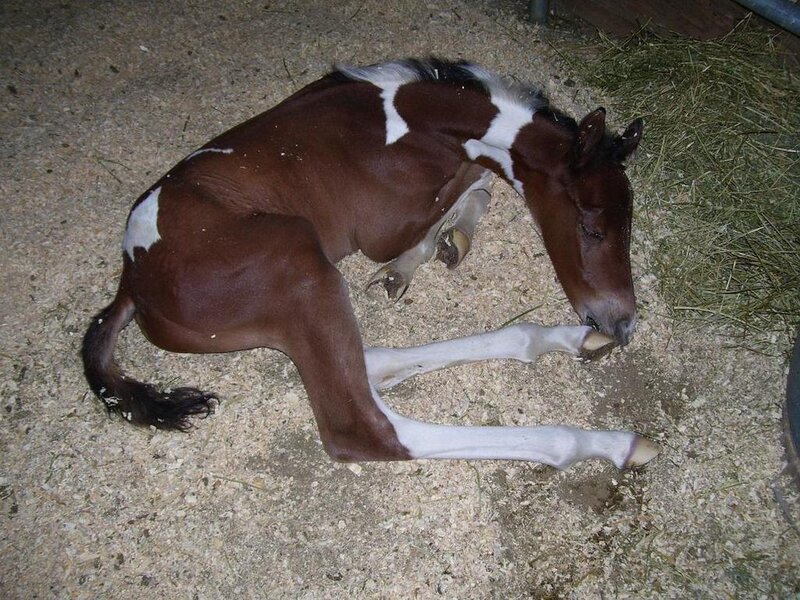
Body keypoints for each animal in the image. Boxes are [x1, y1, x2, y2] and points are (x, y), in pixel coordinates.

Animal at [82, 58, 658, 471]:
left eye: (630, 224)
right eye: (593, 228)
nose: (621, 322)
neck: (408, 119)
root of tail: (131, 280)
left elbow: (477, 182)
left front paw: (445, 244)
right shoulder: (381, 231)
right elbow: (474, 179)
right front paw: (422, 255)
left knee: (372, 362)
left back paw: (566, 339)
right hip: (297, 256)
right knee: (362, 426)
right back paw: (606, 442)